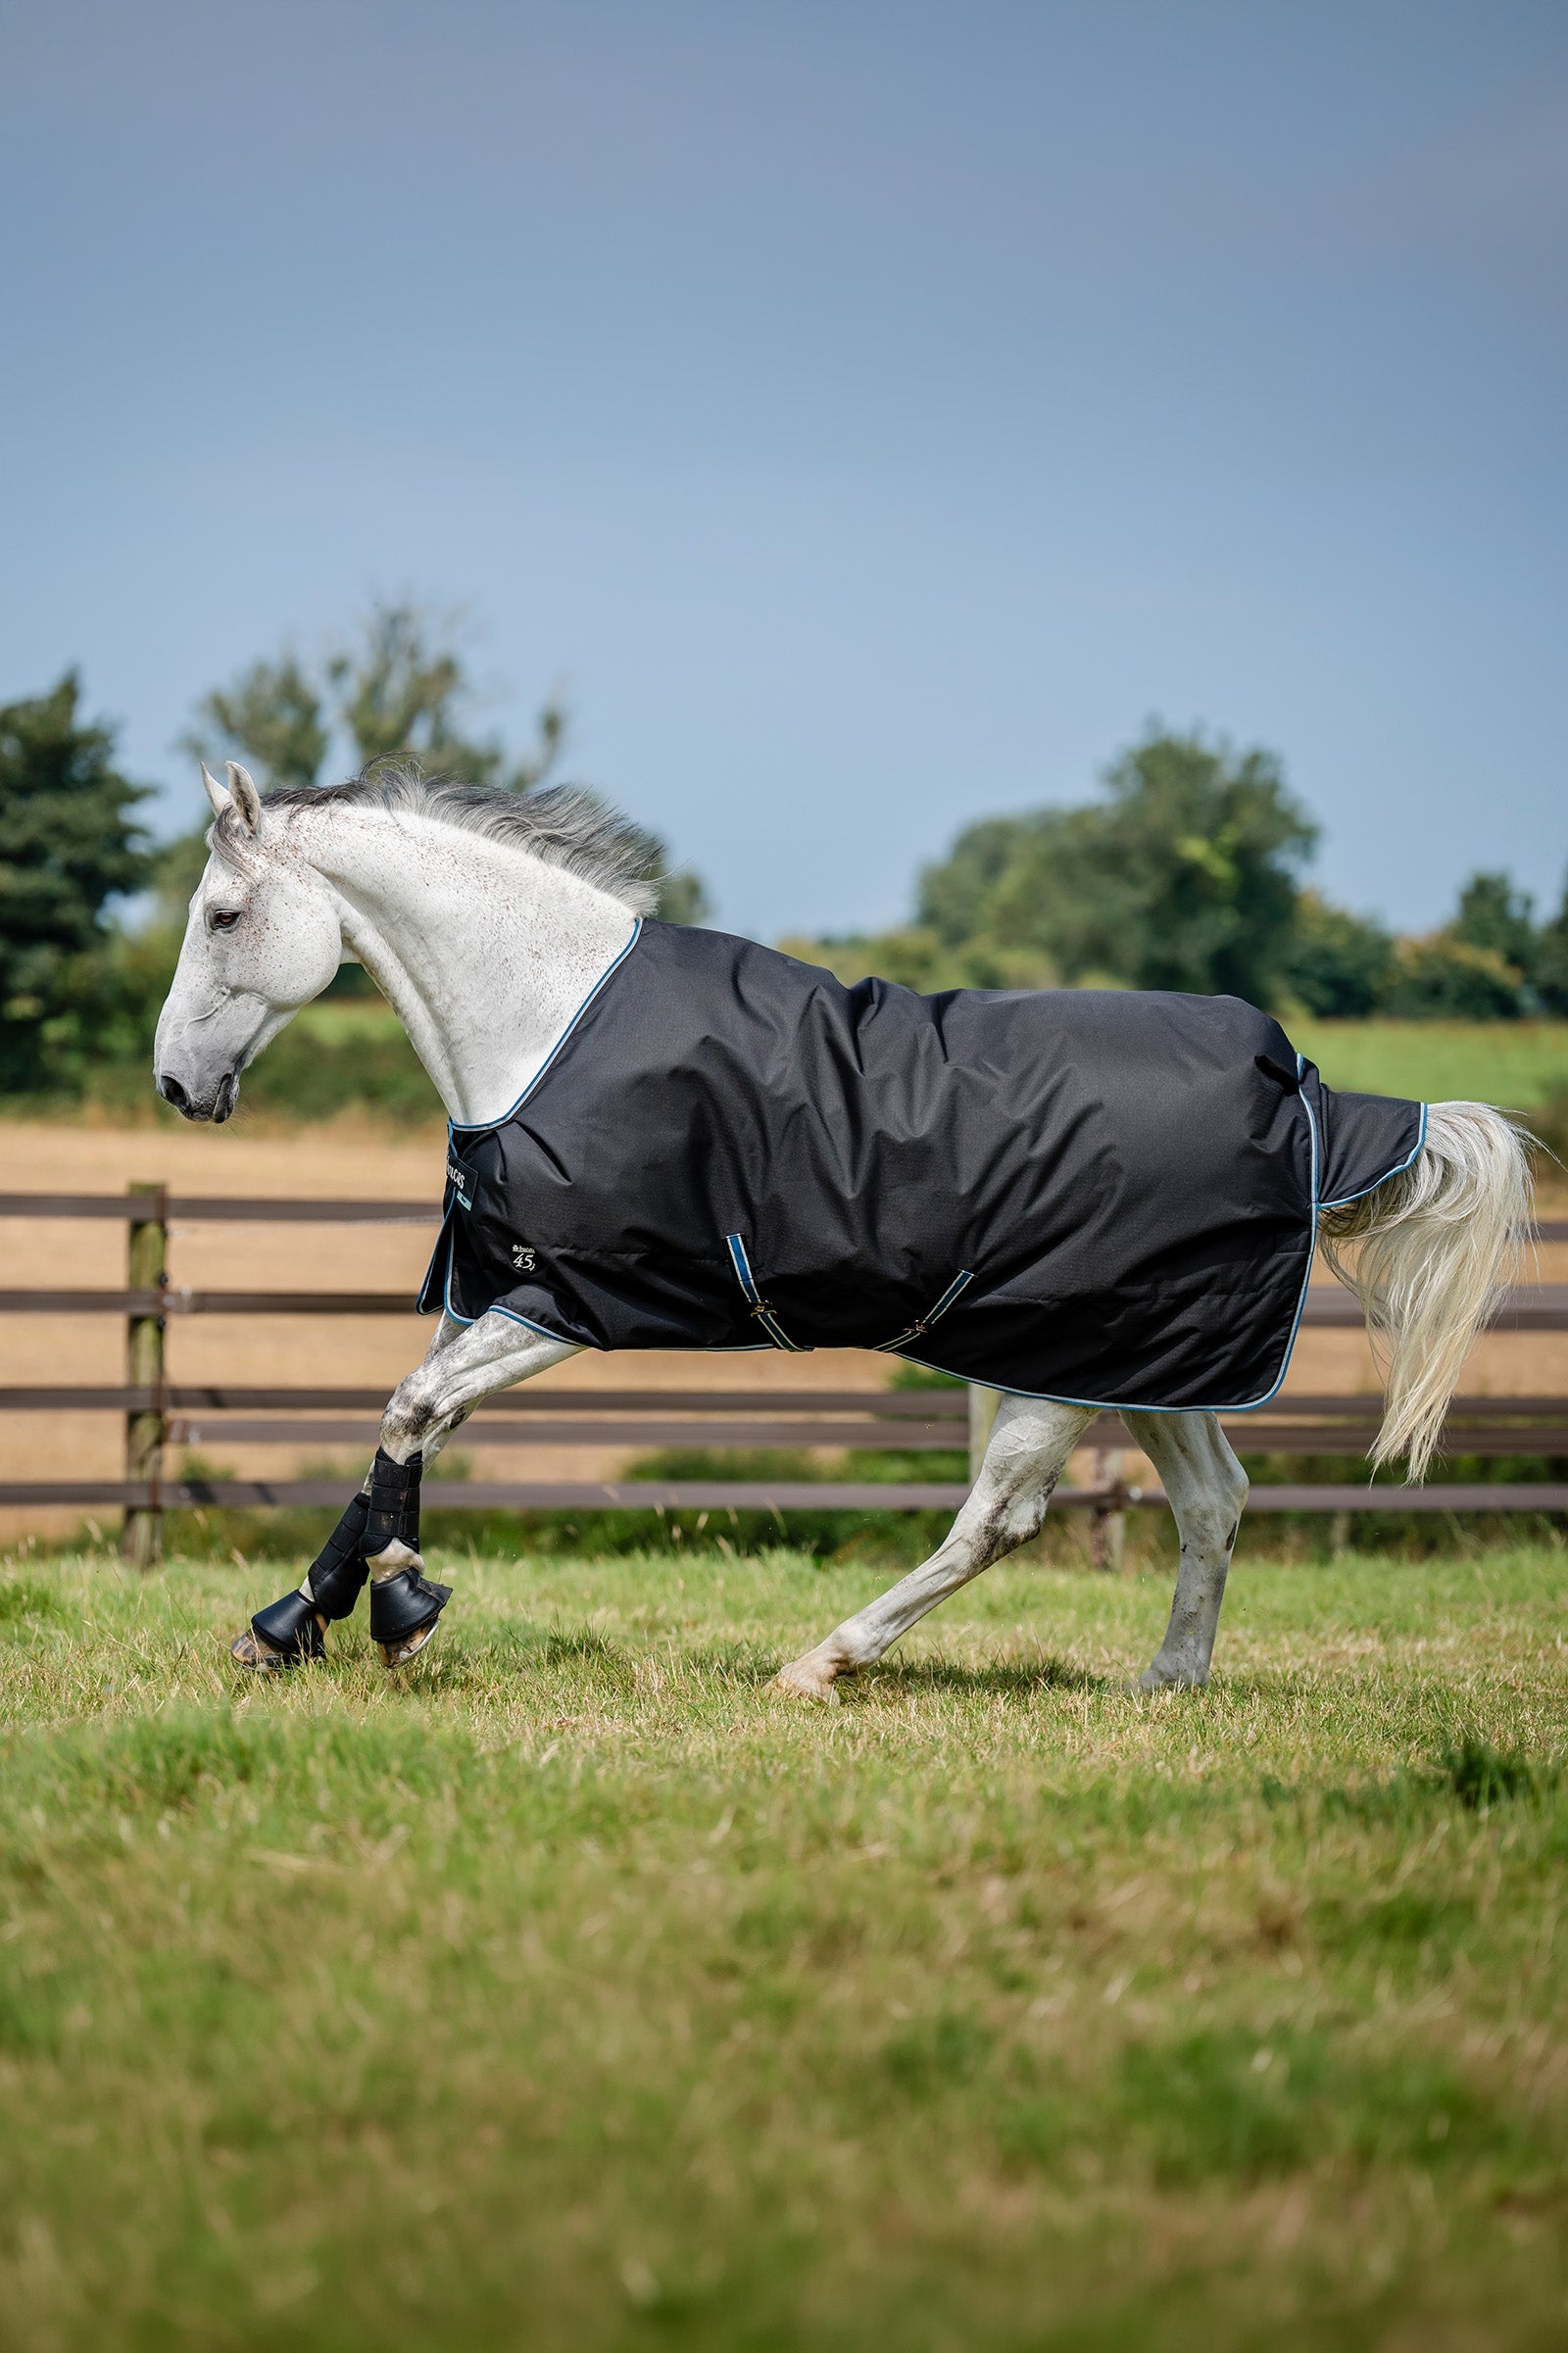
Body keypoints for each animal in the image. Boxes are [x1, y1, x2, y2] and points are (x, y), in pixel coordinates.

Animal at [153, 760, 1531, 1695]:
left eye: (222, 914)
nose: (175, 1084)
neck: (549, 1021)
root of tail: (1298, 1083)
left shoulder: (566, 1302)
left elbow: (409, 1415)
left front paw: (398, 1610)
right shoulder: (495, 1288)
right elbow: (398, 1431)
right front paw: (288, 1622)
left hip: (1060, 1364)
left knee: (1000, 1520)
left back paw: (822, 1661)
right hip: (1147, 1358)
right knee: (1214, 1501)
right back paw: (1165, 1682)